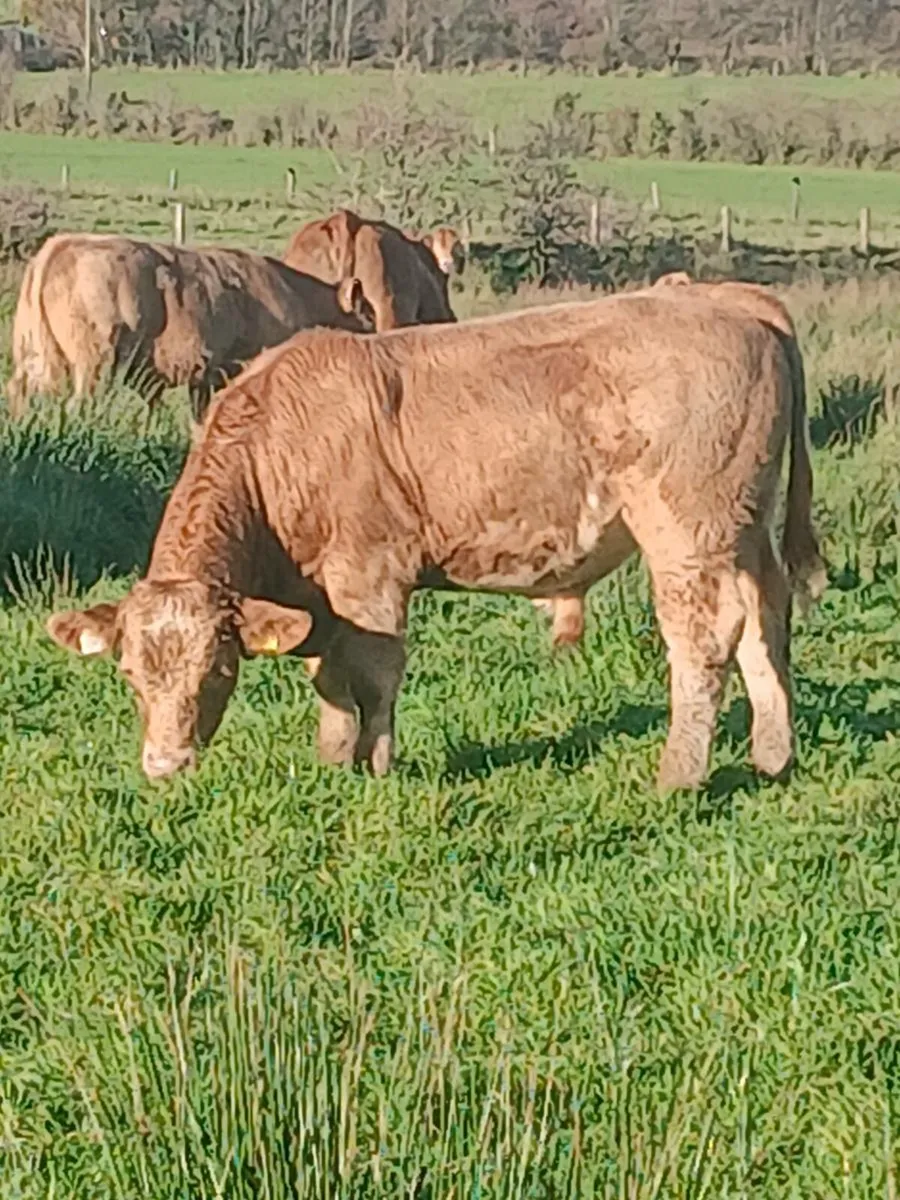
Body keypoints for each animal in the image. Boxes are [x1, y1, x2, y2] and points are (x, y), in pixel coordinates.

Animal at [6, 232, 373, 427]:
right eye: (369, 317)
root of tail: (65, 242)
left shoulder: (204, 377)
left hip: (32, 354)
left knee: (18, 391)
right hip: (95, 361)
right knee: (80, 403)